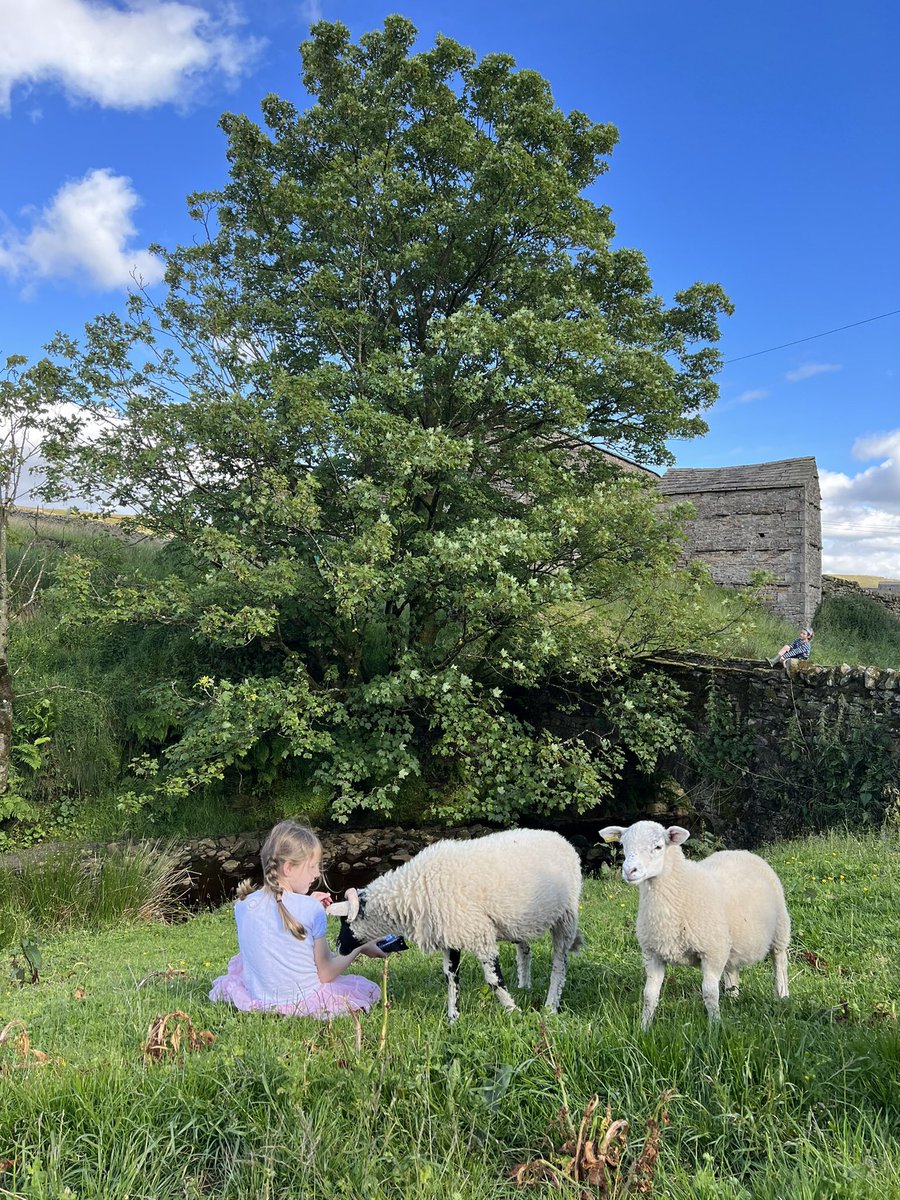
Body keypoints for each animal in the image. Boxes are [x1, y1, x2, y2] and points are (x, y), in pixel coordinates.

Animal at [327, 828, 583, 1021]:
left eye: (344, 921)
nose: (338, 946)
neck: (414, 891)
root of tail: (561, 839)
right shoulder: (450, 934)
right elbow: (451, 977)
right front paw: (453, 1017)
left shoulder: (479, 933)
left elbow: (493, 980)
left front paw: (513, 1011)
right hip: (518, 918)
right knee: (524, 949)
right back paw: (525, 985)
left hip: (566, 916)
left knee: (559, 964)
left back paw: (550, 1006)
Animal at [599, 821, 790, 1028]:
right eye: (623, 845)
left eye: (658, 847)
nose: (629, 871)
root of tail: (741, 851)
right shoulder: (653, 953)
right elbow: (649, 995)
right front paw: (644, 1028)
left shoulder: (712, 952)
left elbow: (710, 993)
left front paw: (715, 1027)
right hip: (728, 942)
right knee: (732, 969)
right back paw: (733, 999)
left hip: (780, 928)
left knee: (779, 961)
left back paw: (782, 995)